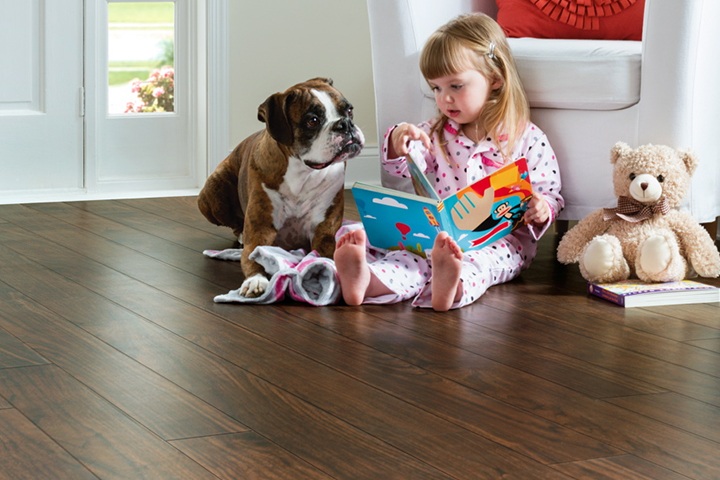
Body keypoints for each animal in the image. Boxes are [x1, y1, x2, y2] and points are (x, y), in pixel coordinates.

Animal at [197, 77, 362, 296]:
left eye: (349, 110)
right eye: (312, 120)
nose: (345, 124)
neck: (303, 173)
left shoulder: (324, 233)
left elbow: (327, 255)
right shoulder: (260, 231)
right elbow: (253, 256)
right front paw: (256, 280)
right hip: (212, 193)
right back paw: (240, 235)